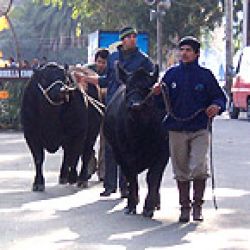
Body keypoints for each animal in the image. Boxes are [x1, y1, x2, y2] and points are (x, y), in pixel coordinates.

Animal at [21, 63, 102, 191]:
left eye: (65, 78)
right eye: (44, 78)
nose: (62, 90)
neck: (51, 114)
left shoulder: (78, 133)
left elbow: (74, 157)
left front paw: (74, 177)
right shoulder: (31, 134)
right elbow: (39, 159)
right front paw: (38, 183)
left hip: (92, 133)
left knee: (85, 154)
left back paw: (81, 179)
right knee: (67, 155)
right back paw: (64, 176)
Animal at [103, 64, 170, 217]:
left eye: (147, 88)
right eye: (128, 86)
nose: (135, 105)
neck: (139, 133)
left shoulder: (163, 154)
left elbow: (153, 178)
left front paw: (149, 207)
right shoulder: (123, 155)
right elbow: (131, 178)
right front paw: (131, 204)